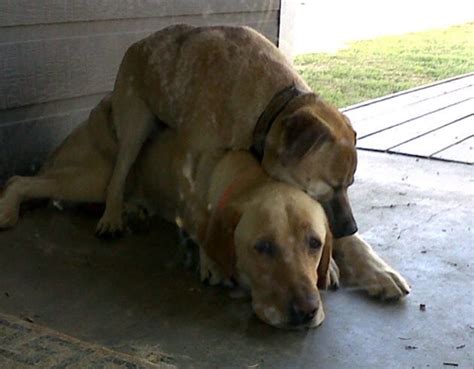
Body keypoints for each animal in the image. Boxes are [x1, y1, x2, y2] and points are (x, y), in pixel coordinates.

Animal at [0, 95, 336, 328]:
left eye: (315, 243)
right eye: (263, 247)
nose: (306, 311)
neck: (251, 178)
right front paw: (210, 262)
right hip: (94, 178)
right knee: (21, 180)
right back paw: (8, 210)